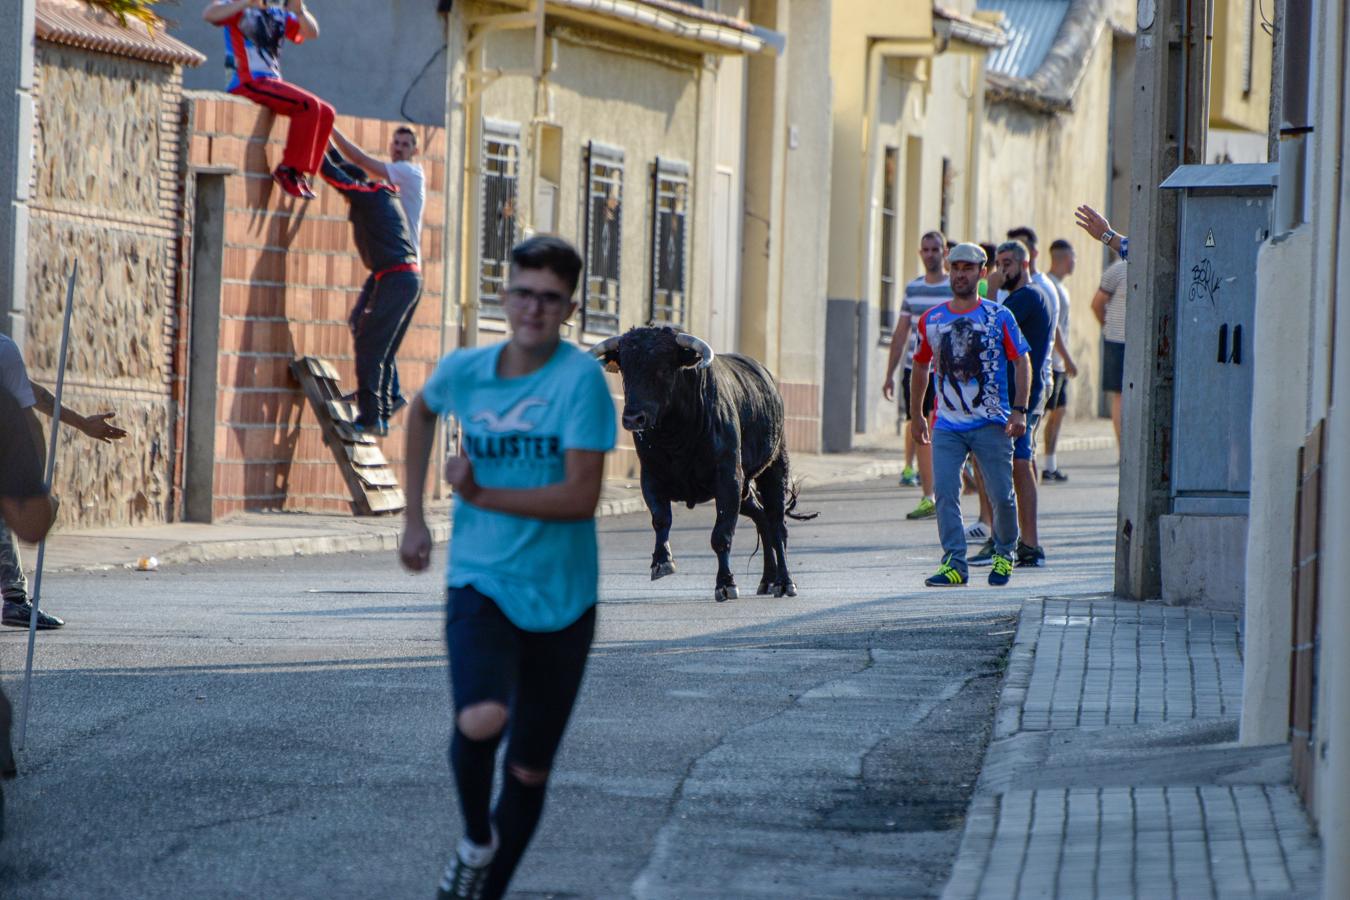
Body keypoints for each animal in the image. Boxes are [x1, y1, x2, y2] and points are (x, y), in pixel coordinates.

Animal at [591, 327, 810, 601]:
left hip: (774, 467)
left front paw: (726, 584)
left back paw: (784, 582)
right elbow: (661, 519)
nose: (633, 418)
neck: (675, 434)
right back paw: (767, 580)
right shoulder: (650, 477)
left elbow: (721, 534)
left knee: (777, 522)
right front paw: (662, 562)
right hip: (744, 488)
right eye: (625, 368)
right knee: (761, 517)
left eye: (663, 368)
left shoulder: (728, 479)